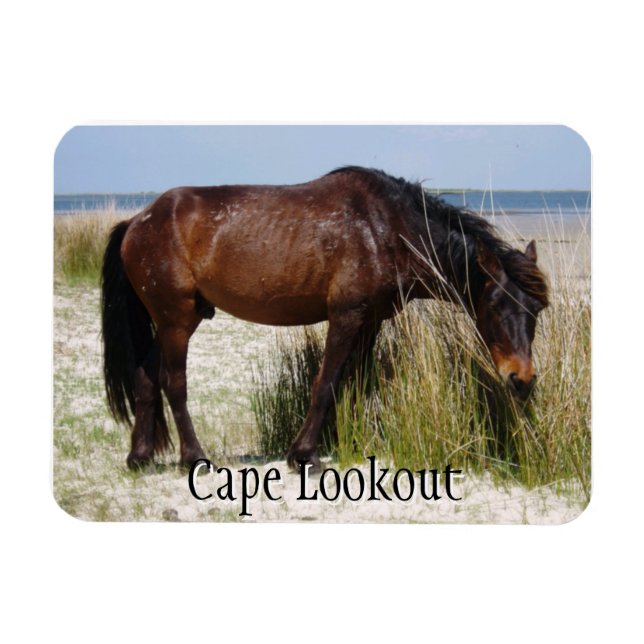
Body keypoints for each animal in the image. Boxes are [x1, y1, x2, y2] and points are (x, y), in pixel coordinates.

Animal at [101, 166, 549, 470]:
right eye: (495, 306)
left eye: (537, 311)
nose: (522, 380)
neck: (387, 226)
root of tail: (138, 221)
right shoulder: (346, 316)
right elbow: (326, 382)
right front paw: (304, 454)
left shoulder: (371, 321)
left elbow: (357, 383)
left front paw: (354, 439)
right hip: (176, 319)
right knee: (173, 383)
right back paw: (193, 457)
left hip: (176, 320)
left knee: (145, 376)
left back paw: (139, 456)